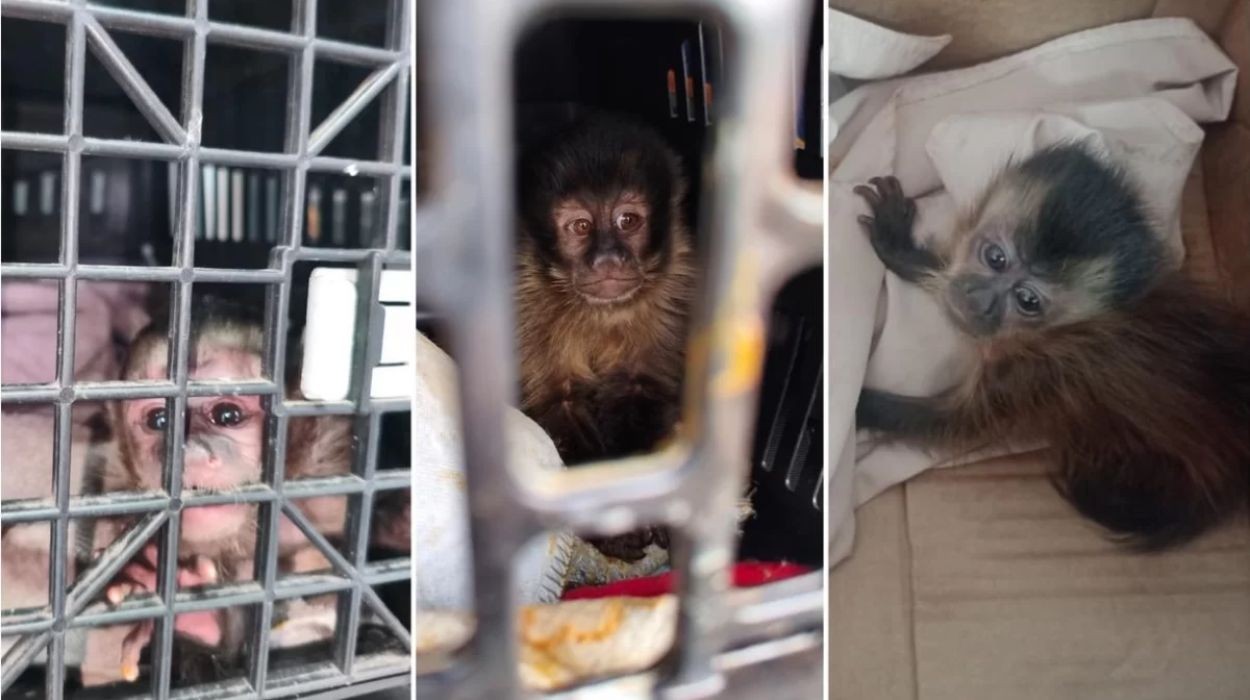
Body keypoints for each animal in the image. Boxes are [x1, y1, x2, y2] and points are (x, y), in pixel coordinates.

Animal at [514, 115, 696, 560]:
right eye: (580, 226)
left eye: (627, 221)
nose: (608, 259)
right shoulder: (525, 294)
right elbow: (556, 404)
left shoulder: (674, 285)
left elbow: (637, 389)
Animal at [852, 142, 1250, 549]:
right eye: (995, 258)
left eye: (1028, 301)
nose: (980, 300)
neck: (1059, 333)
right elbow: (945, 282)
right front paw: (899, 247)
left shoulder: (1042, 371)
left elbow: (957, 422)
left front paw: (856, 408)